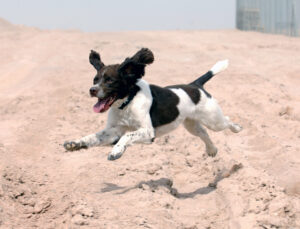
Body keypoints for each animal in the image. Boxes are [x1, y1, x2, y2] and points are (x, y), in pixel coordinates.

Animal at [63, 47, 241, 161]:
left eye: (110, 81)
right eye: (95, 79)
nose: (92, 90)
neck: (127, 102)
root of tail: (195, 85)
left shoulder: (148, 132)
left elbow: (127, 136)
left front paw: (116, 151)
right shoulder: (114, 131)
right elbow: (93, 137)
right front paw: (75, 143)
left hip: (214, 120)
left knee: (226, 121)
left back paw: (237, 128)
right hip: (191, 124)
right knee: (204, 133)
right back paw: (212, 150)